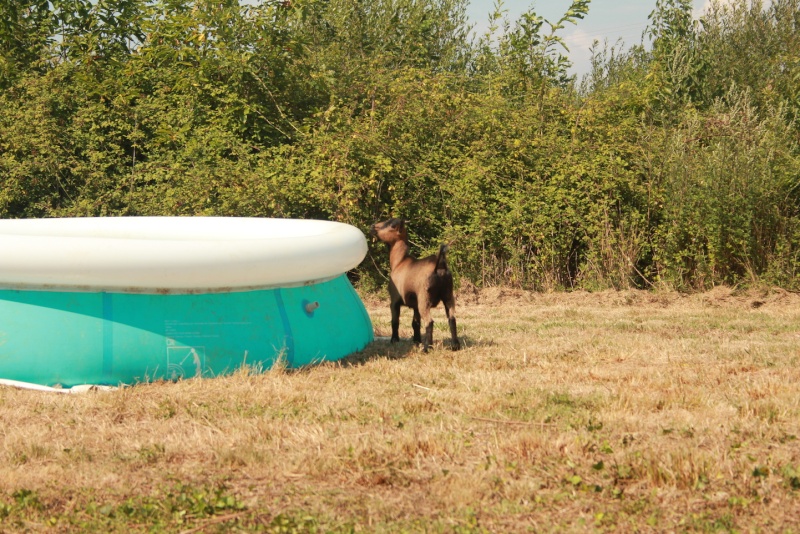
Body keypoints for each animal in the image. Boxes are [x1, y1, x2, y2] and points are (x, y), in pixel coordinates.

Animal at [370, 220, 460, 354]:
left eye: (390, 224)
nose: (372, 226)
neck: (400, 262)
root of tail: (439, 266)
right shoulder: (415, 305)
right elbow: (415, 323)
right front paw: (417, 340)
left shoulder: (394, 301)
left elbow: (395, 321)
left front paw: (394, 340)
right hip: (448, 296)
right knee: (452, 319)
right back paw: (455, 346)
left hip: (424, 300)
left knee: (429, 322)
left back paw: (427, 348)